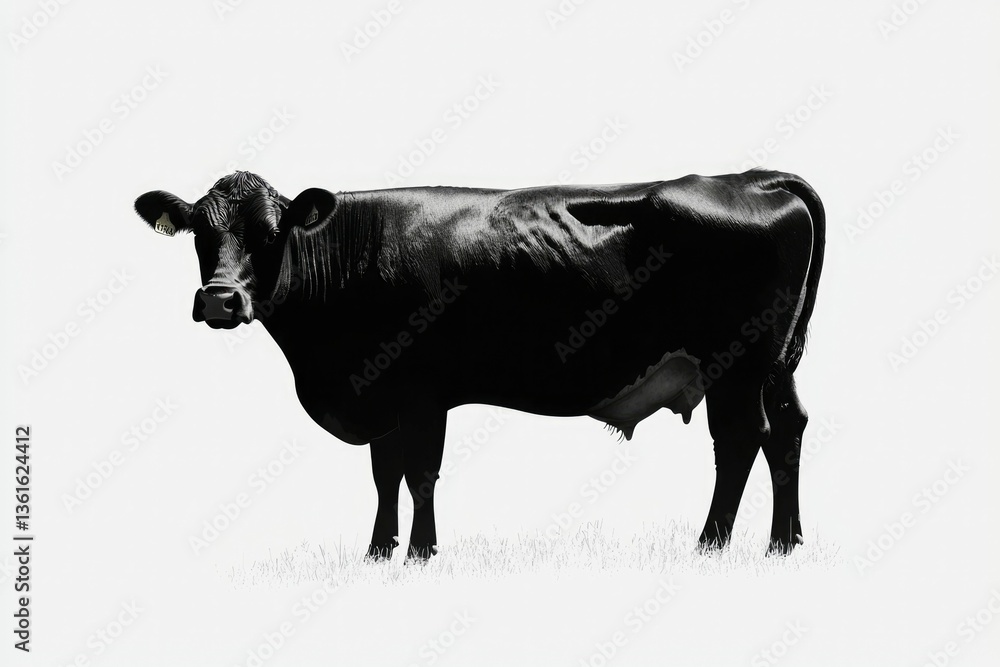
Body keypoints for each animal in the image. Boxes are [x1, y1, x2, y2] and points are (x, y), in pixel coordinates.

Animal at [134, 169, 824, 560]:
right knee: (787, 431)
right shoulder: (378, 388)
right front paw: (378, 552)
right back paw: (783, 543)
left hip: (736, 363)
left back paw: (711, 545)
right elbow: (384, 474)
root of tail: (754, 178)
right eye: (199, 231)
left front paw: (420, 553)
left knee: (741, 440)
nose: (220, 299)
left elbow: (419, 473)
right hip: (775, 366)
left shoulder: (420, 390)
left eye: (272, 232)